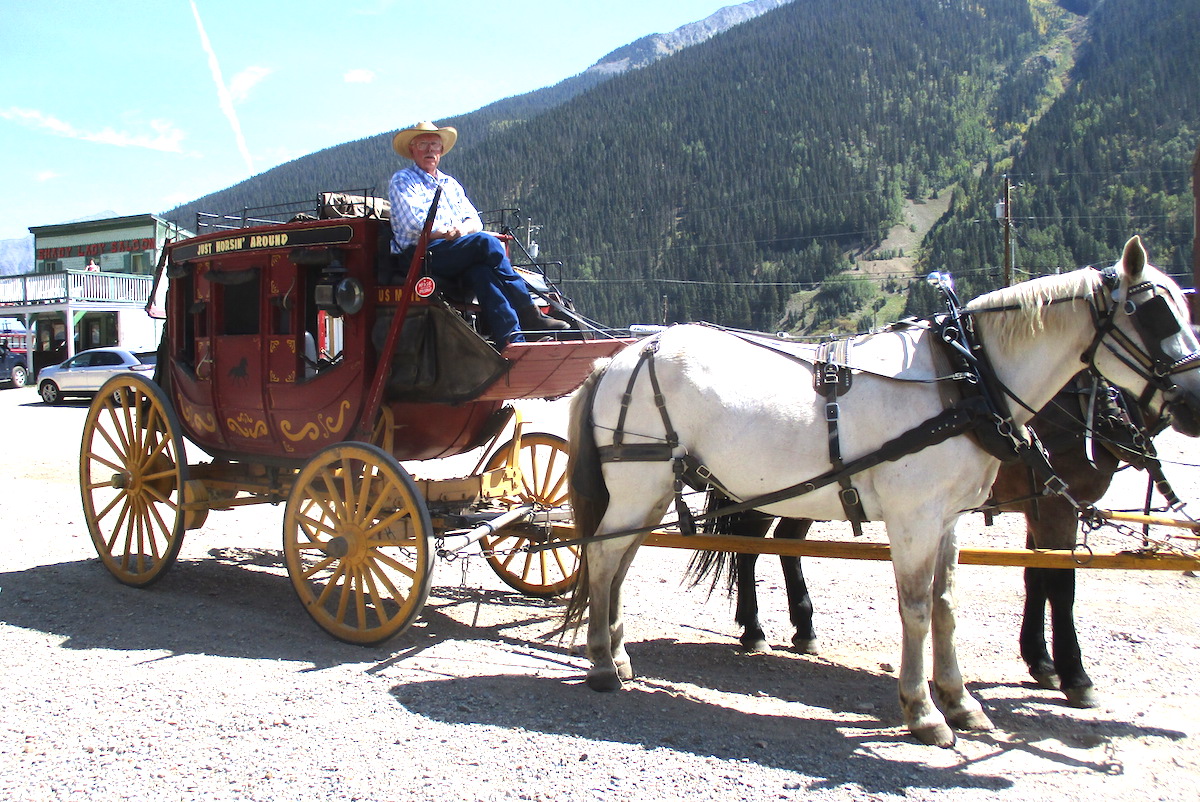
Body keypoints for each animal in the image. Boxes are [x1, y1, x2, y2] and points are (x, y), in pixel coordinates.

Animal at [702, 375, 1168, 709]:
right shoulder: (1057, 506)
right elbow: (1061, 587)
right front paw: (1074, 674)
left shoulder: (1040, 508)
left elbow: (1035, 579)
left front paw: (1040, 658)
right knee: (749, 548)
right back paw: (754, 628)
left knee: (783, 544)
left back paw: (802, 628)